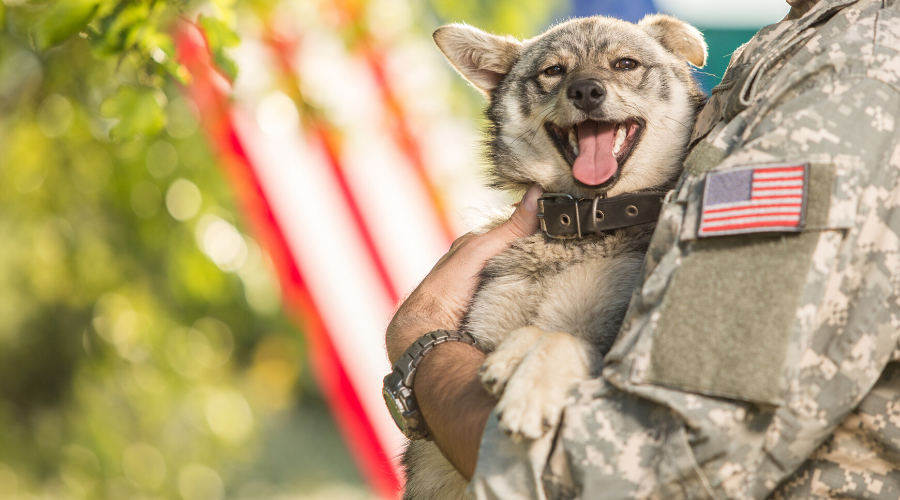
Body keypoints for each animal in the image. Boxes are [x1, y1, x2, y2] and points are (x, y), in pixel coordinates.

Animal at [404, 13, 708, 498]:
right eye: (553, 71)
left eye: (625, 63)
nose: (585, 91)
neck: (579, 228)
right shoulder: (480, 331)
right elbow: (526, 333)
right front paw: (514, 356)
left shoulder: (615, 342)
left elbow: (565, 339)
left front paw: (530, 384)